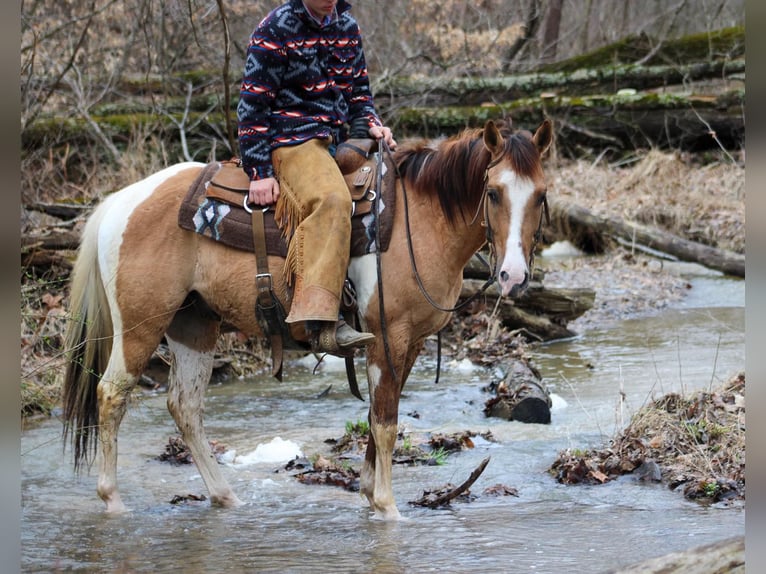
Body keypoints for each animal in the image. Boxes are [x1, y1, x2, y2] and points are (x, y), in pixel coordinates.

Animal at [60, 117, 552, 520]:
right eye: (493, 193)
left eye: (541, 195)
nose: (513, 276)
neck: (421, 221)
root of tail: (120, 203)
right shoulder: (386, 335)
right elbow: (385, 422)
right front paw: (387, 508)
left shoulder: (409, 342)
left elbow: (379, 415)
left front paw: (368, 494)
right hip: (141, 324)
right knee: (112, 395)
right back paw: (113, 500)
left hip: (193, 323)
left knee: (185, 407)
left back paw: (225, 497)